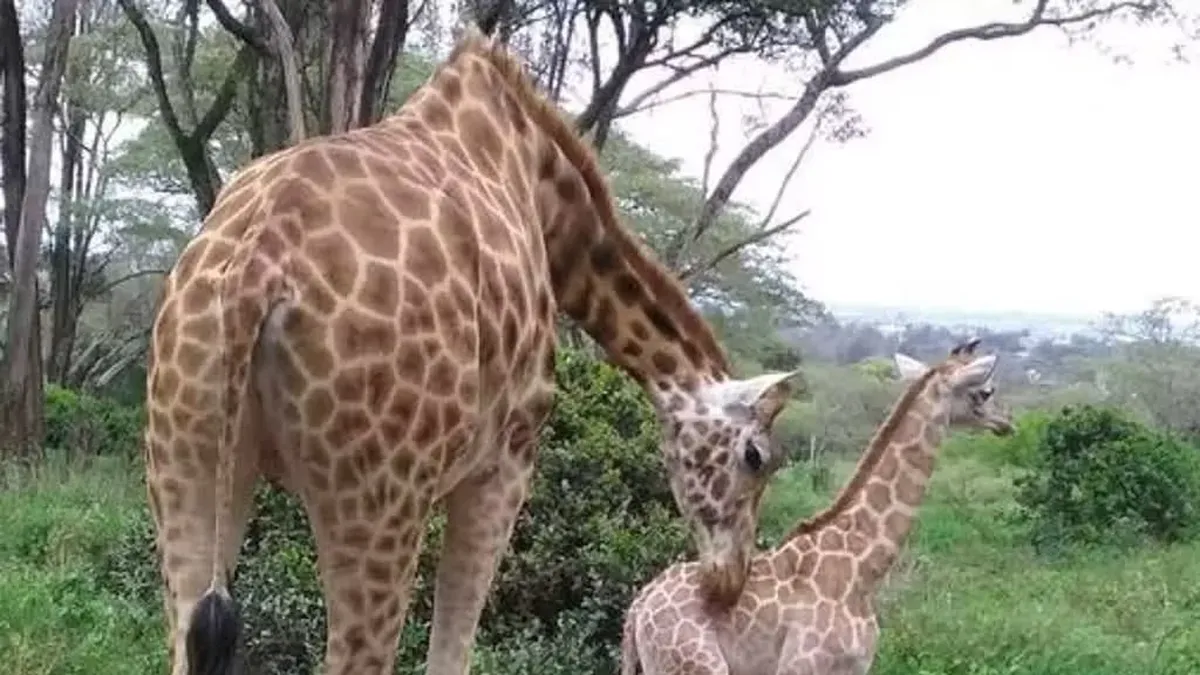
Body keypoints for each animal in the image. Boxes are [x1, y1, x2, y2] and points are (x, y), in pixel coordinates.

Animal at [144, 26, 803, 675]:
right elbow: (453, 649)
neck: (550, 198)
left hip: (186, 446)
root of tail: (258, 264)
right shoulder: (507, 459)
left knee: (186, 633)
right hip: (380, 495)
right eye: (757, 458)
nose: (728, 584)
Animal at [620, 338, 1015, 675]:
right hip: (694, 666)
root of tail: (637, 611)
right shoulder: (804, 665)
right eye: (986, 391)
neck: (862, 567)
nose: (1008, 422)